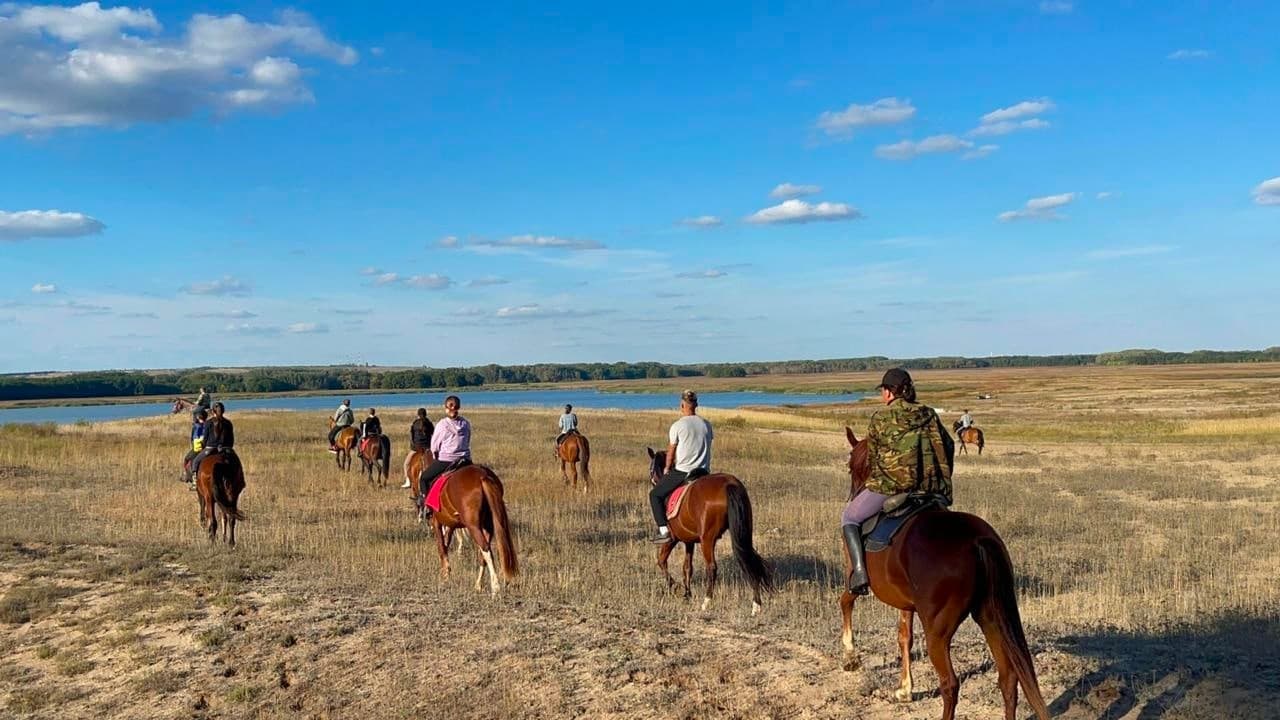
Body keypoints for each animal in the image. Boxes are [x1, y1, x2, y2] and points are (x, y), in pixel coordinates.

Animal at [422, 461, 517, 591]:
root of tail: (482, 476)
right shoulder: (451, 525)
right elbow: (446, 544)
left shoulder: (437, 522)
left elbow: (441, 547)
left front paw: (445, 575)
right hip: (488, 526)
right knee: (483, 554)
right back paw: (478, 584)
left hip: (473, 526)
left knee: (485, 549)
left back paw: (495, 586)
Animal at [645, 448, 773, 609]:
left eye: (651, 469)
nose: (653, 481)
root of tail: (729, 484)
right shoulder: (689, 541)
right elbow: (687, 567)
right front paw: (687, 594)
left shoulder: (672, 539)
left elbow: (661, 561)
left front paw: (675, 587)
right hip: (743, 532)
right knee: (749, 559)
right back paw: (756, 605)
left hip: (707, 539)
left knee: (712, 567)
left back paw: (706, 601)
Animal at [839, 425, 1039, 717]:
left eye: (851, 466)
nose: (853, 496)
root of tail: (977, 540)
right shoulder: (906, 602)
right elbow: (904, 637)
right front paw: (905, 689)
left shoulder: (855, 578)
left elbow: (845, 602)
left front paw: (850, 656)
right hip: (990, 618)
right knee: (1008, 678)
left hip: (938, 632)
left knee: (950, 684)